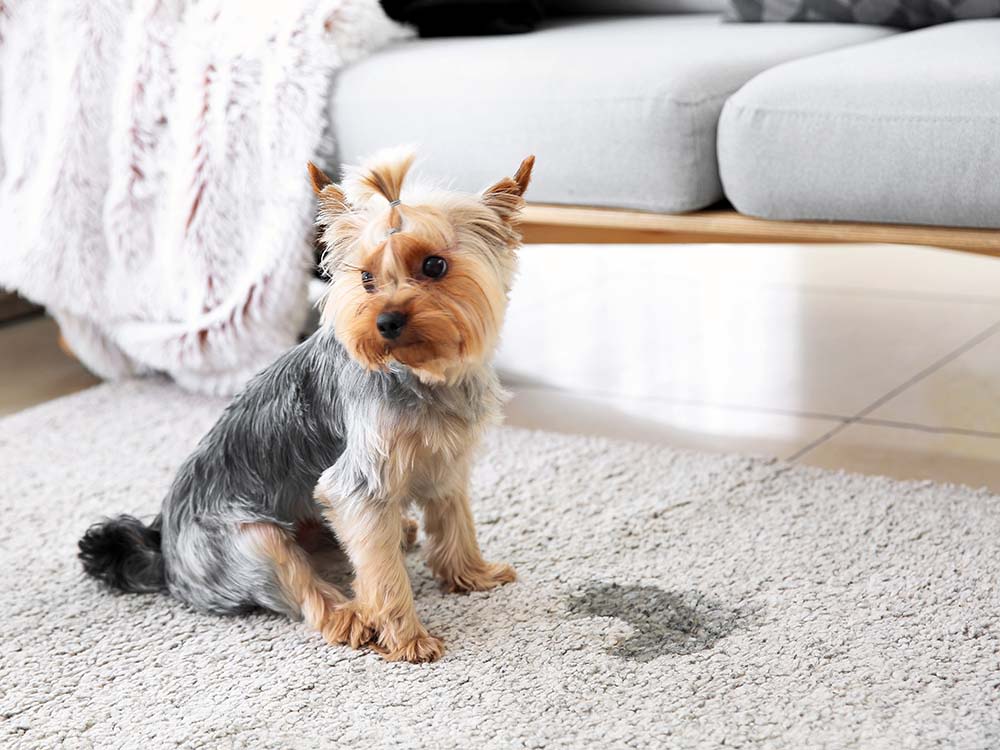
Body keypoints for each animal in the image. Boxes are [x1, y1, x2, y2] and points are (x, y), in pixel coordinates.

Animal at [81, 148, 536, 664]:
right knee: (303, 589)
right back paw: (350, 616)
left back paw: (397, 536)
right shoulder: (358, 486)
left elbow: (456, 521)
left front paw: (471, 575)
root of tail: (165, 556)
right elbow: (382, 572)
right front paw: (406, 637)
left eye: (435, 265)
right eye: (365, 278)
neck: (419, 373)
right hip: (250, 540)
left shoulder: (448, 461)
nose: (385, 322)